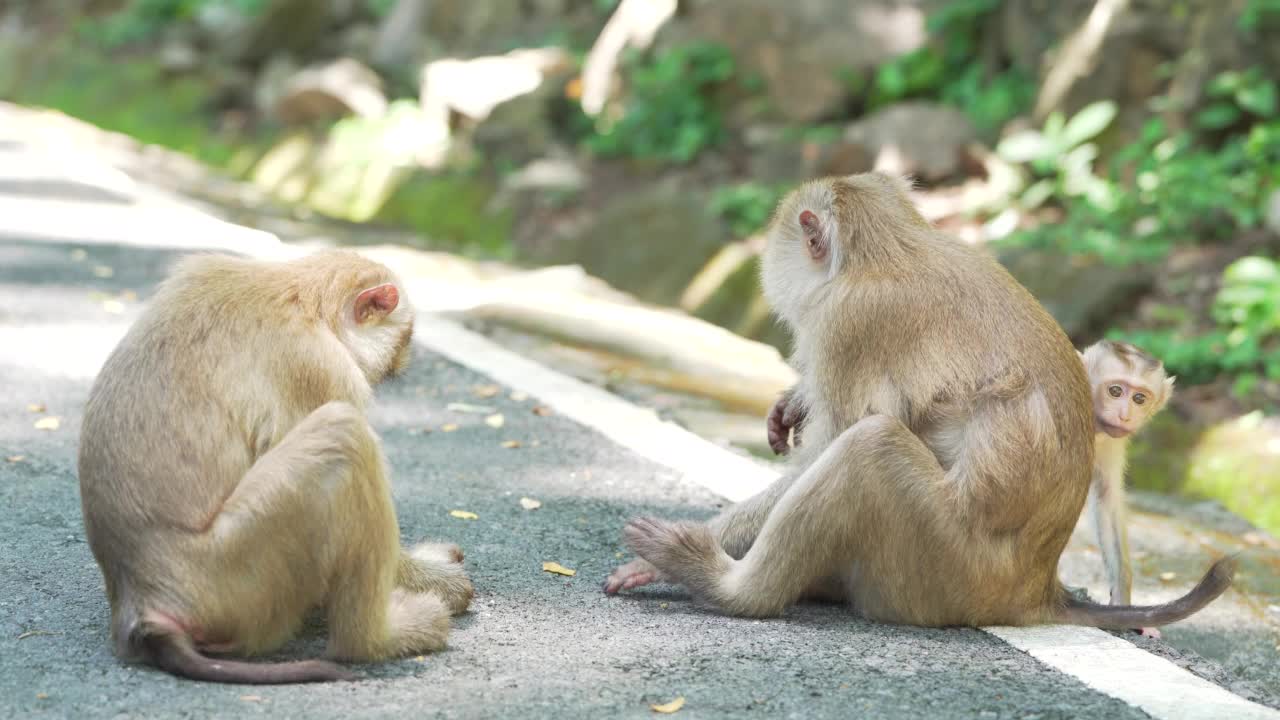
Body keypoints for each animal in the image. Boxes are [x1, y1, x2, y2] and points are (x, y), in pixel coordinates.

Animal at [78, 249, 476, 681]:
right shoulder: (321, 368)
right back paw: (375, 640)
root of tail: (141, 603)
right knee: (343, 434)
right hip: (238, 575)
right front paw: (440, 582)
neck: (303, 295)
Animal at [604, 169, 1233, 627]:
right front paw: (793, 400)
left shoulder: (845, 323)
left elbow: (831, 445)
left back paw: (726, 586)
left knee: (869, 447)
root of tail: (1038, 590)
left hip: (943, 569)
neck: (888, 250)